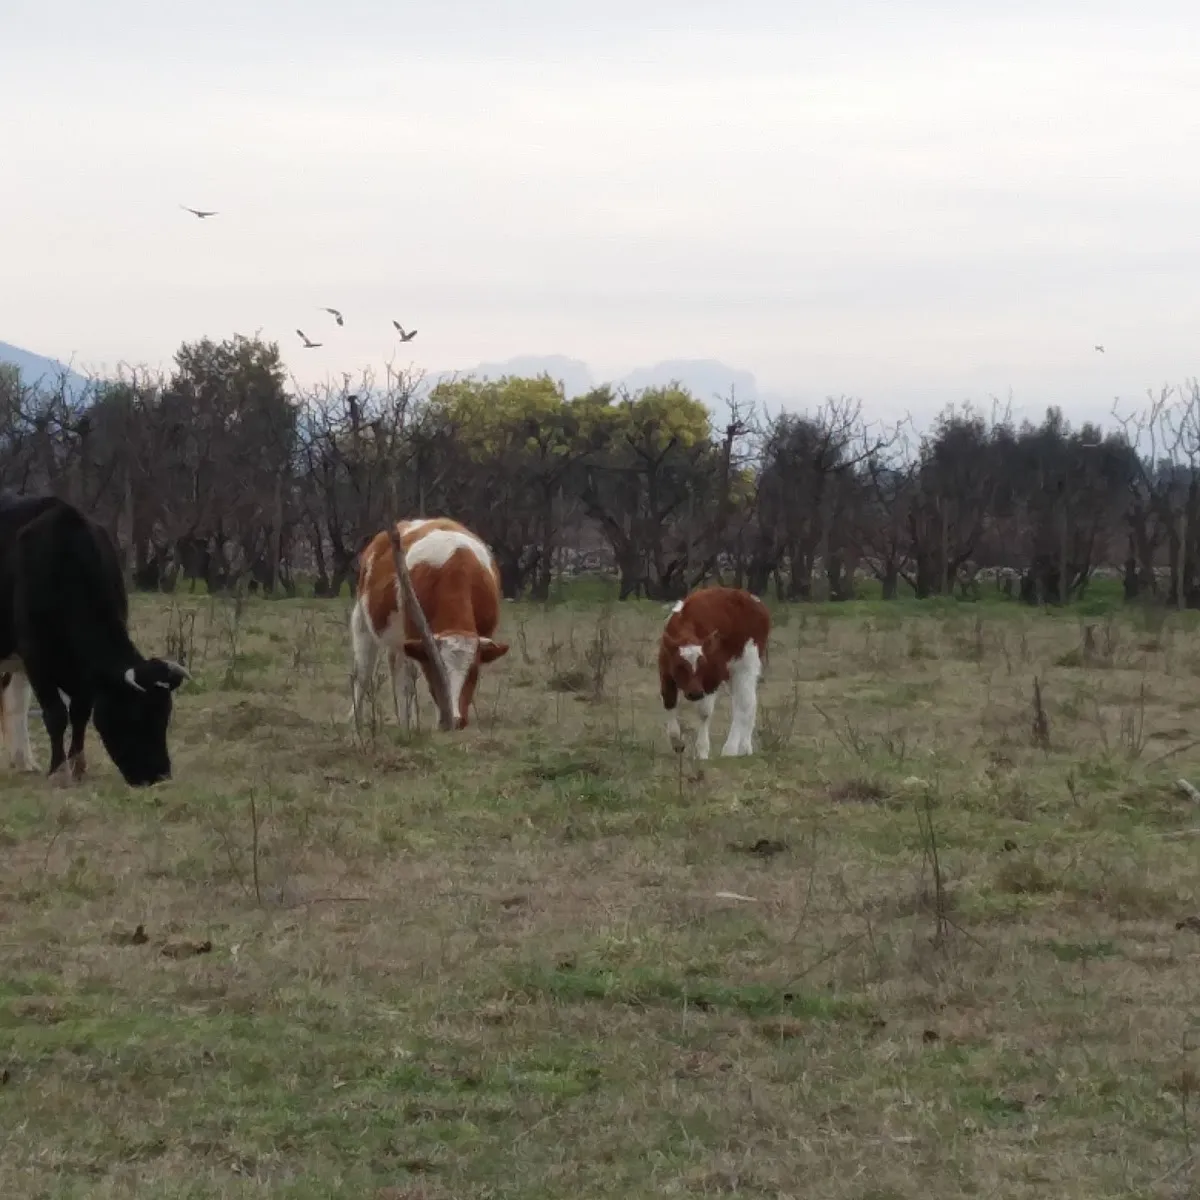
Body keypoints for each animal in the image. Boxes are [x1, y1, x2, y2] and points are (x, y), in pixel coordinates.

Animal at [0, 493, 190, 786]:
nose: (160, 775)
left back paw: (24, 762)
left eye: (164, 716)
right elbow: (56, 714)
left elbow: (80, 713)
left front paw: (78, 766)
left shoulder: (86, 676)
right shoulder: (35, 656)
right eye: (135, 716)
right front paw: (59, 771)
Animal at [350, 517, 509, 730]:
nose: (456, 720)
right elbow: (407, 685)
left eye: (473, 671)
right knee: (364, 674)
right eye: (436, 672)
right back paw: (362, 721)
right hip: (362, 622)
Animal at [658, 585, 771, 759]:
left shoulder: (712, 678)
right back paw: (745, 748)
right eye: (679, 666)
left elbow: (704, 712)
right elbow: (669, 702)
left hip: (746, 666)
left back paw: (731, 749)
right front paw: (676, 741)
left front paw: (702, 750)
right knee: (745, 703)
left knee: (744, 704)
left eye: (704, 664)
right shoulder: (666, 674)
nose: (695, 693)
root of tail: (753, 600)